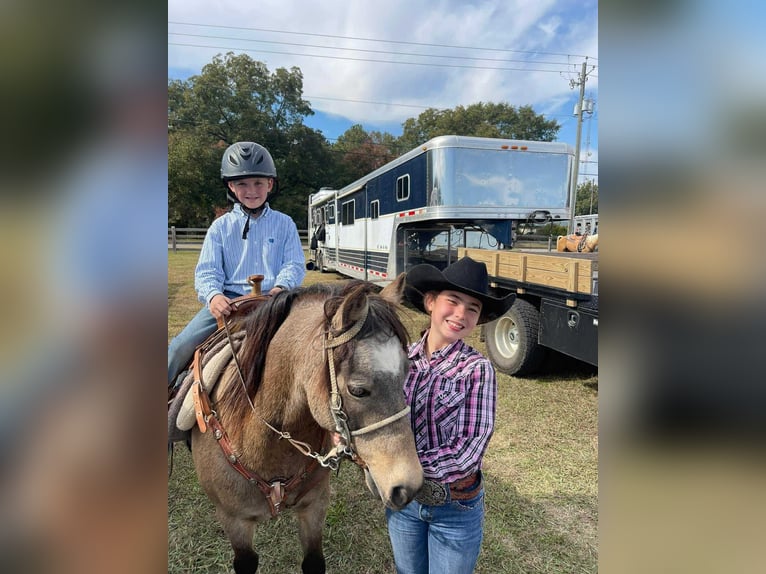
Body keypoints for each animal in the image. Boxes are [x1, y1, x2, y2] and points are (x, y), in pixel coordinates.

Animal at [186, 276, 426, 572]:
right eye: (358, 390)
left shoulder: (314, 507)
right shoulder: (234, 521)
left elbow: (313, 560)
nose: (409, 486)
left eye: (406, 374)